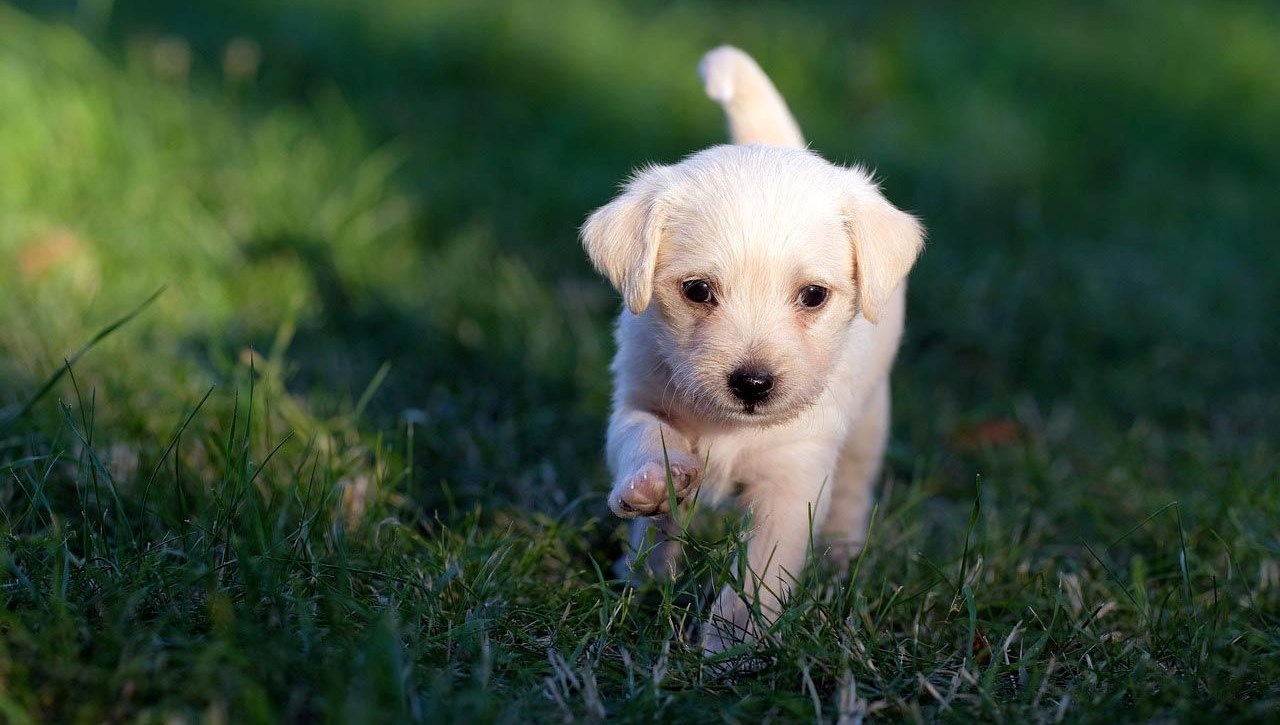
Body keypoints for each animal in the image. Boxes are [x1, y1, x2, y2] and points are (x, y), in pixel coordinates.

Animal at [578, 48, 921, 655]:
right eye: (697, 290)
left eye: (814, 296)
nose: (753, 384)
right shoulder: (638, 399)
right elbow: (644, 438)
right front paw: (652, 484)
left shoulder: (793, 480)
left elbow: (760, 573)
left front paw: (732, 647)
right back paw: (642, 575)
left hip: (870, 423)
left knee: (854, 490)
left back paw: (841, 555)